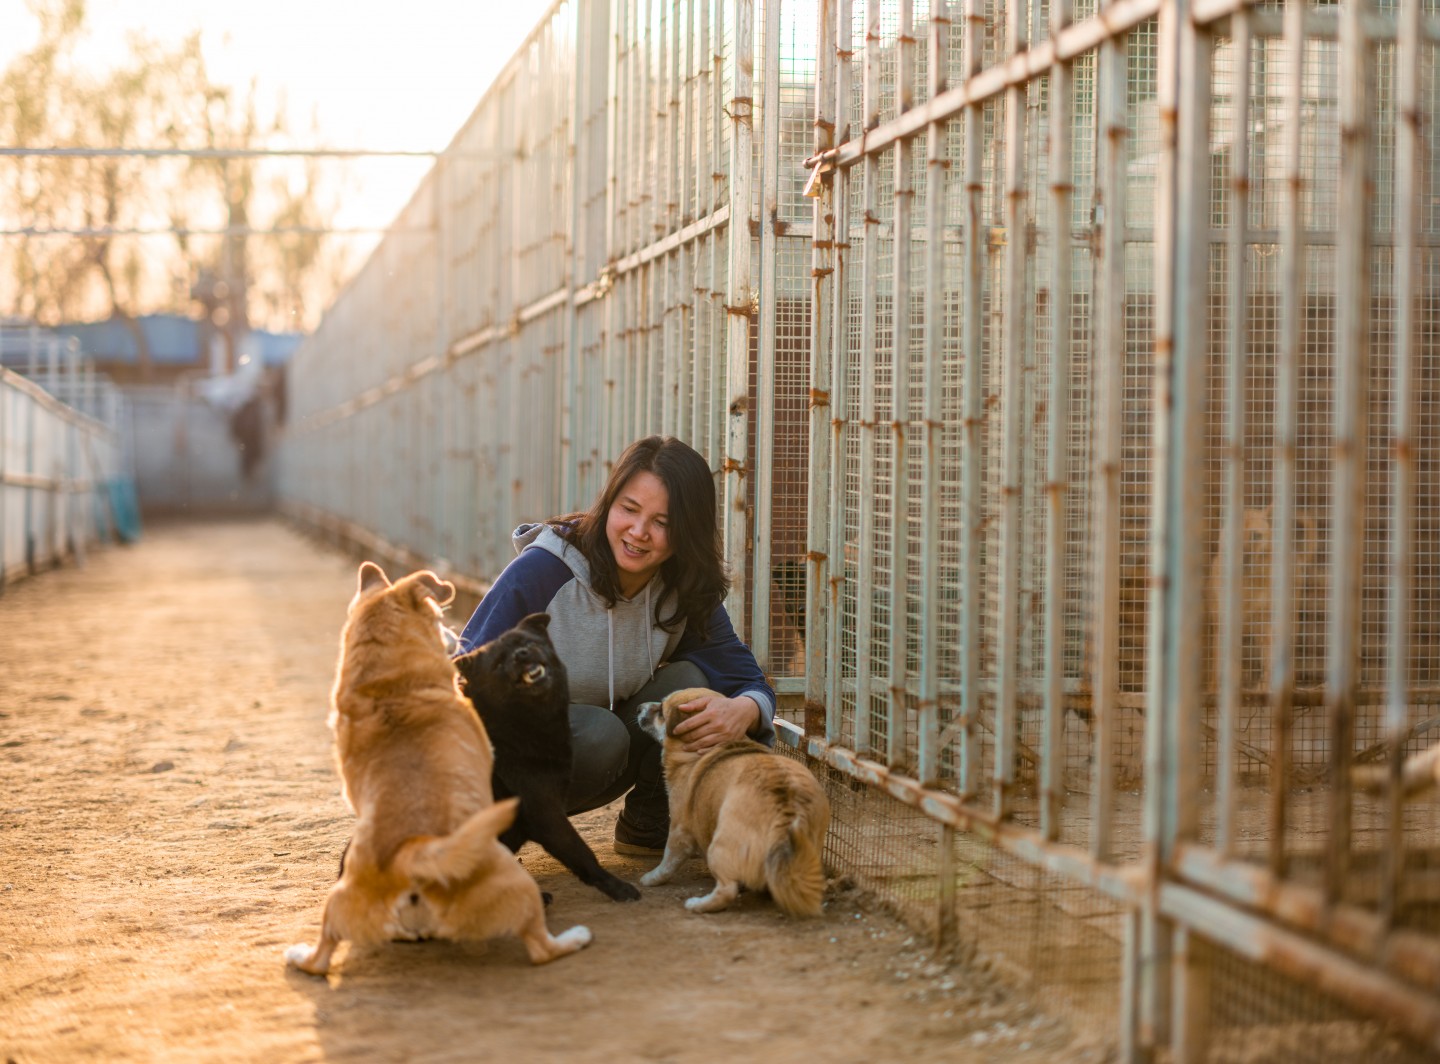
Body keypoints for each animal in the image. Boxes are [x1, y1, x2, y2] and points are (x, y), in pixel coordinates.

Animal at [286, 561, 590, 979]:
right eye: (438, 616)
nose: (456, 636)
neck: (387, 685)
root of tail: (410, 858)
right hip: (518, 886)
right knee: (541, 948)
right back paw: (575, 937)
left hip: (337, 902)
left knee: (320, 958)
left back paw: (298, 953)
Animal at [452, 610, 639, 904]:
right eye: (499, 661)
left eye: (527, 642)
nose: (521, 655)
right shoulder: (545, 812)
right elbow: (582, 853)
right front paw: (617, 887)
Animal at [636, 691, 829, 915]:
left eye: (661, 711)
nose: (638, 707)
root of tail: (787, 807)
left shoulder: (679, 830)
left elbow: (668, 861)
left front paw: (651, 878)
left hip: (717, 848)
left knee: (727, 891)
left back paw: (698, 904)